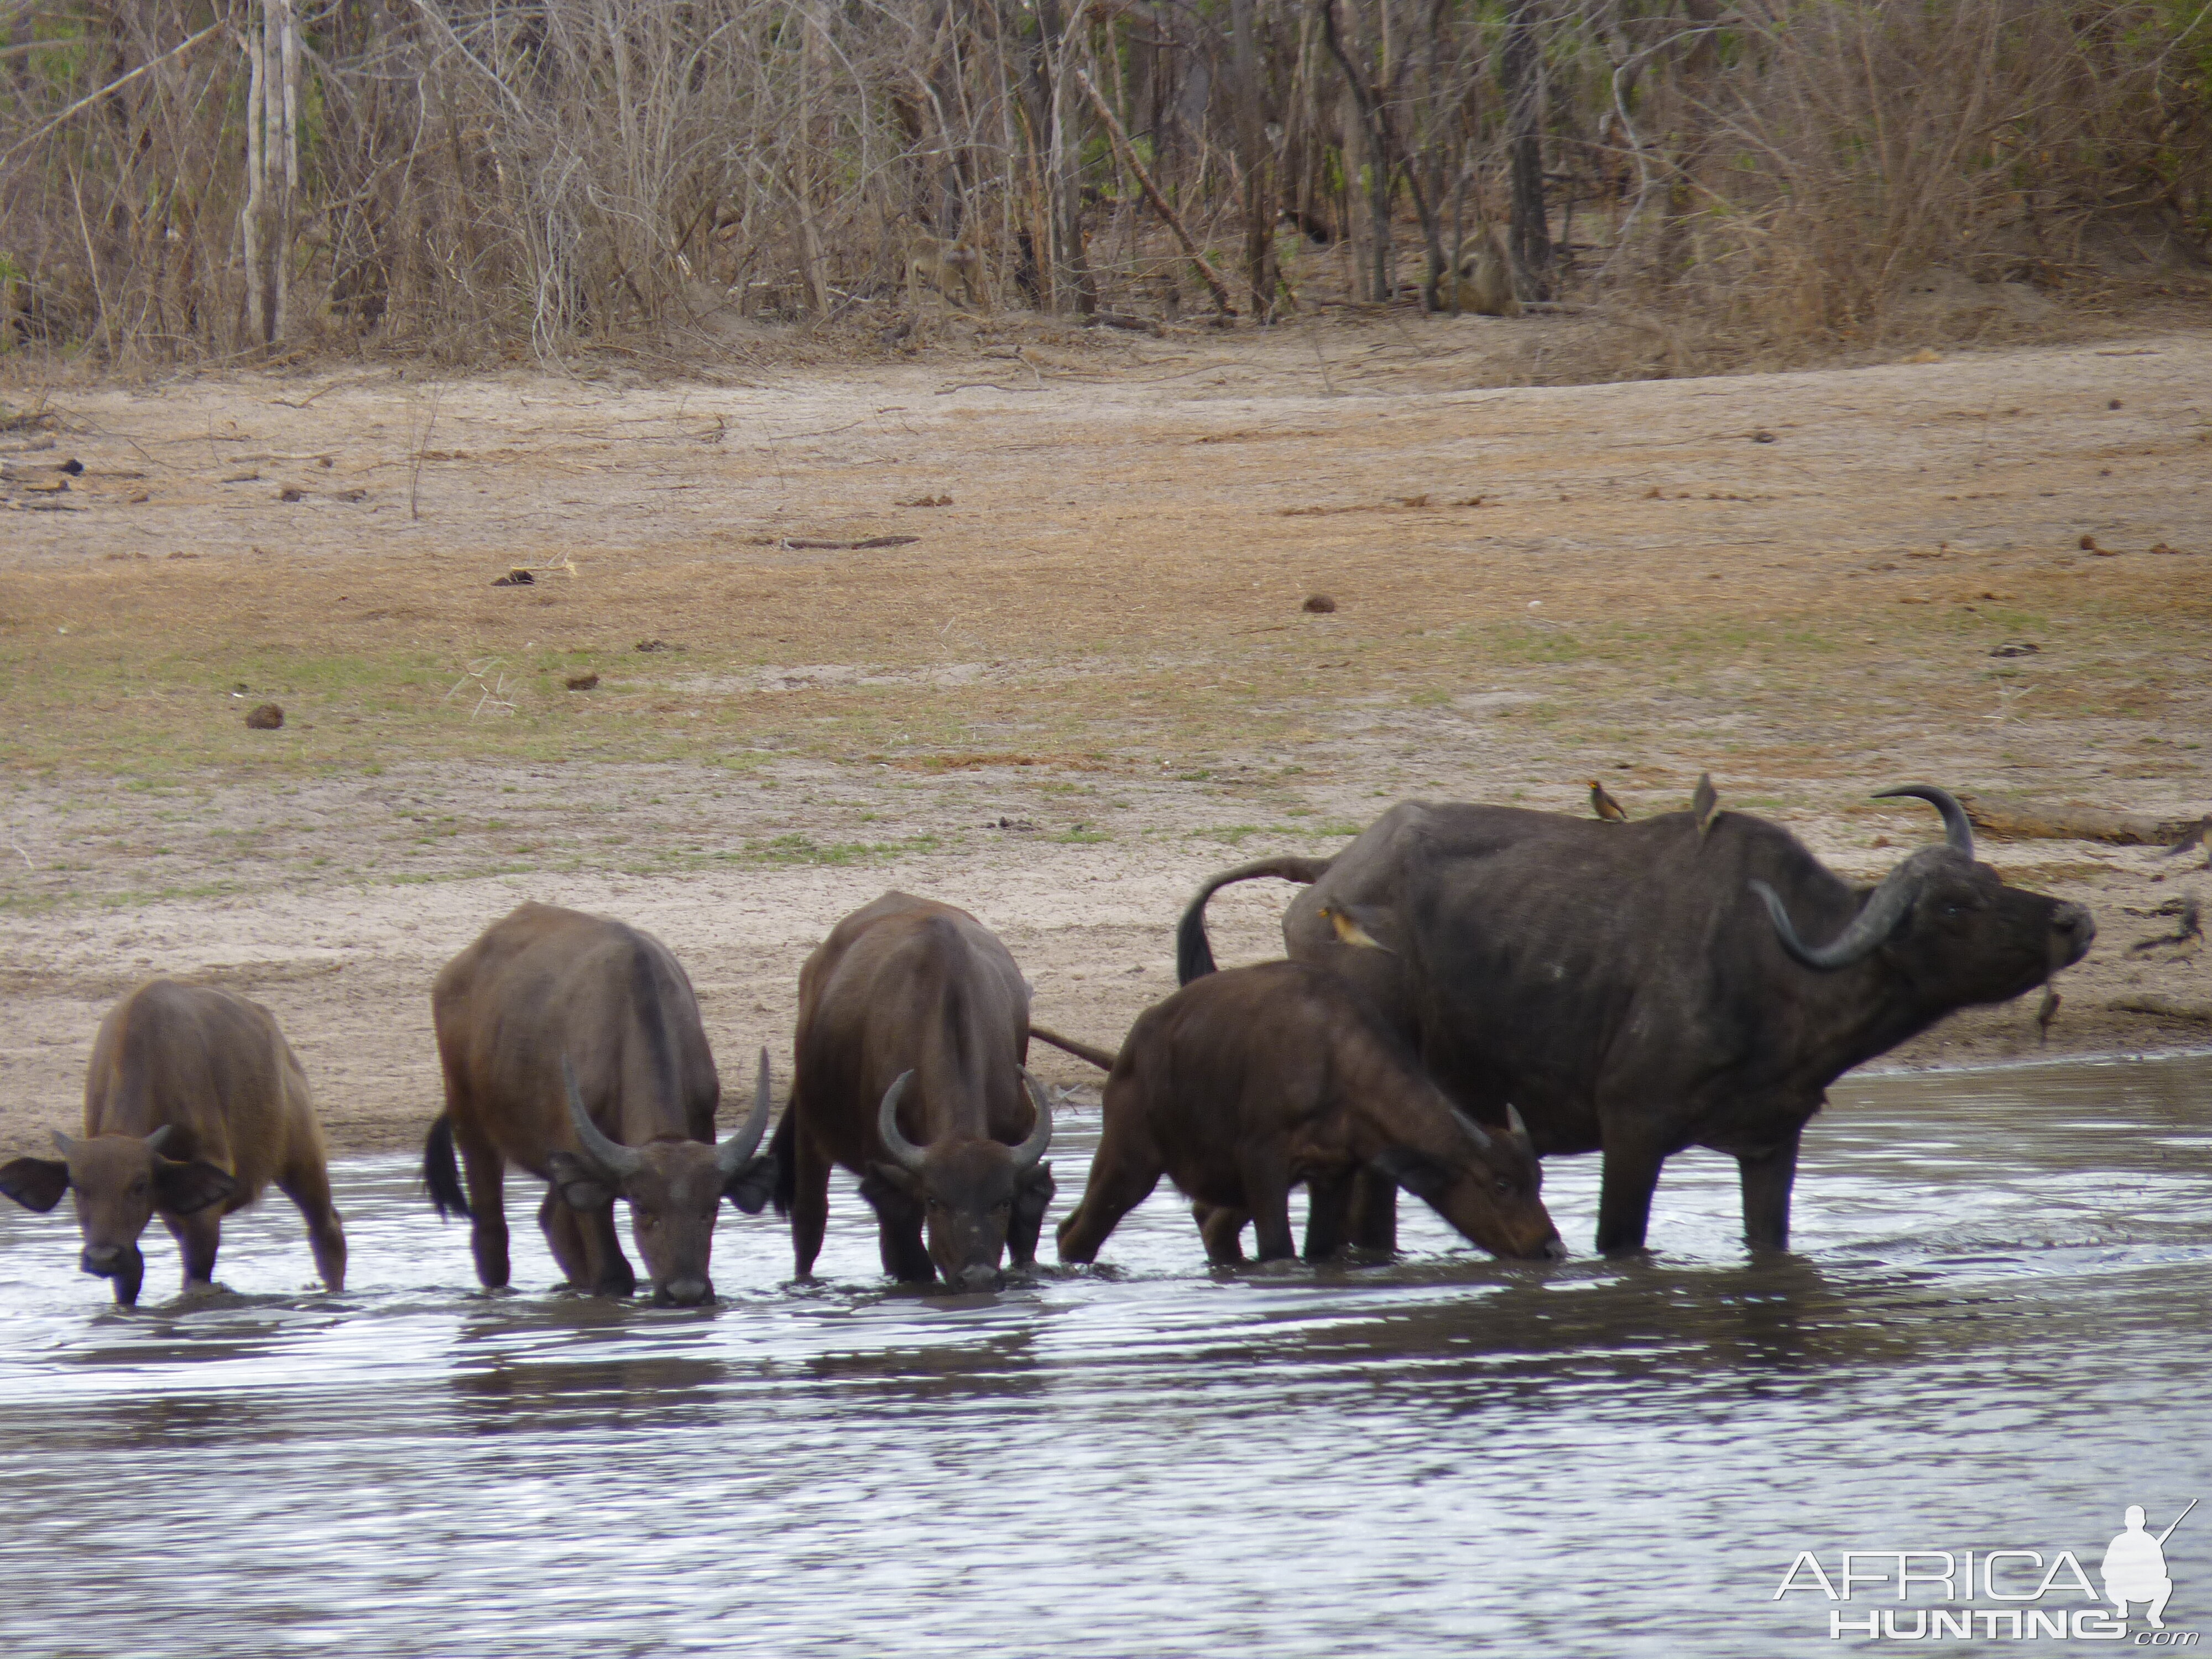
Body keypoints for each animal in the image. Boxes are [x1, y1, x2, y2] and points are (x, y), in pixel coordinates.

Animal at [0, 982, 345, 1310]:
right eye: (76, 1187)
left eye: (140, 1185)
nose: (102, 1257)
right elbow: (131, 1277)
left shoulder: (207, 1190)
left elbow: (198, 1278)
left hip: (303, 1159)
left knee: (326, 1229)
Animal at [774, 898, 1057, 1301]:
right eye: (934, 1201)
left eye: (1002, 1200)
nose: (977, 1279)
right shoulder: (891, 1182)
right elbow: (908, 1255)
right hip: (810, 1131)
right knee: (810, 1219)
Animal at [1057, 960, 1566, 1274]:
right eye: (1501, 1184)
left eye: (1538, 1182)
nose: (1551, 1248)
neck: (1335, 1060)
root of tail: (1132, 1048)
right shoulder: (1262, 1163)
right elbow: (1278, 1252)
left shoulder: (1333, 1173)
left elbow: (1318, 1254)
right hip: (1129, 1163)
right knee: (1073, 1235)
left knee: (1211, 1221)